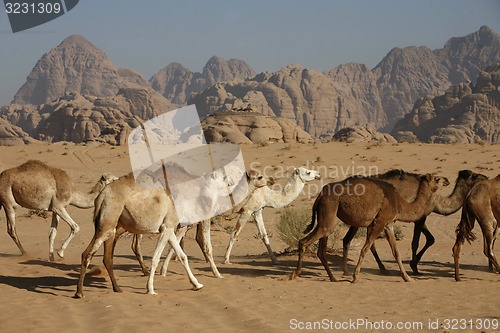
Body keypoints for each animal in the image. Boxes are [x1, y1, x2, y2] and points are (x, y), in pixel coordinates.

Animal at [74, 171, 203, 296]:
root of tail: (102, 195)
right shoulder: (167, 227)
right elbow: (156, 257)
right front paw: (150, 289)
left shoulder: (169, 229)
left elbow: (183, 256)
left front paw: (197, 285)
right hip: (108, 223)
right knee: (88, 254)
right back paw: (79, 292)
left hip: (108, 224)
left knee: (106, 257)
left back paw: (117, 289)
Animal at [288, 172, 448, 282]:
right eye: (437, 179)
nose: (447, 180)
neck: (399, 203)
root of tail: (320, 195)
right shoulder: (379, 222)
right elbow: (365, 249)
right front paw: (355, 277)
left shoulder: (388, 225)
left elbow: (396, 252)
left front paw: (407, 278)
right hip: (329, 210)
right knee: (304, 241)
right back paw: (295, 274)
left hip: (326, 216)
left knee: (321, 249)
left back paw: (333, 278)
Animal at [342, 169, 486, 274]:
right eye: (474, 175)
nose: (485, 177)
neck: (436, 200)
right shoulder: (420, 217)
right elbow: (415, 242)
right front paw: (415, 268)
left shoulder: (420, 216)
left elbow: (431, 239)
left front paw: (414, 263)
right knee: (353, 240)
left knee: (352, 240)